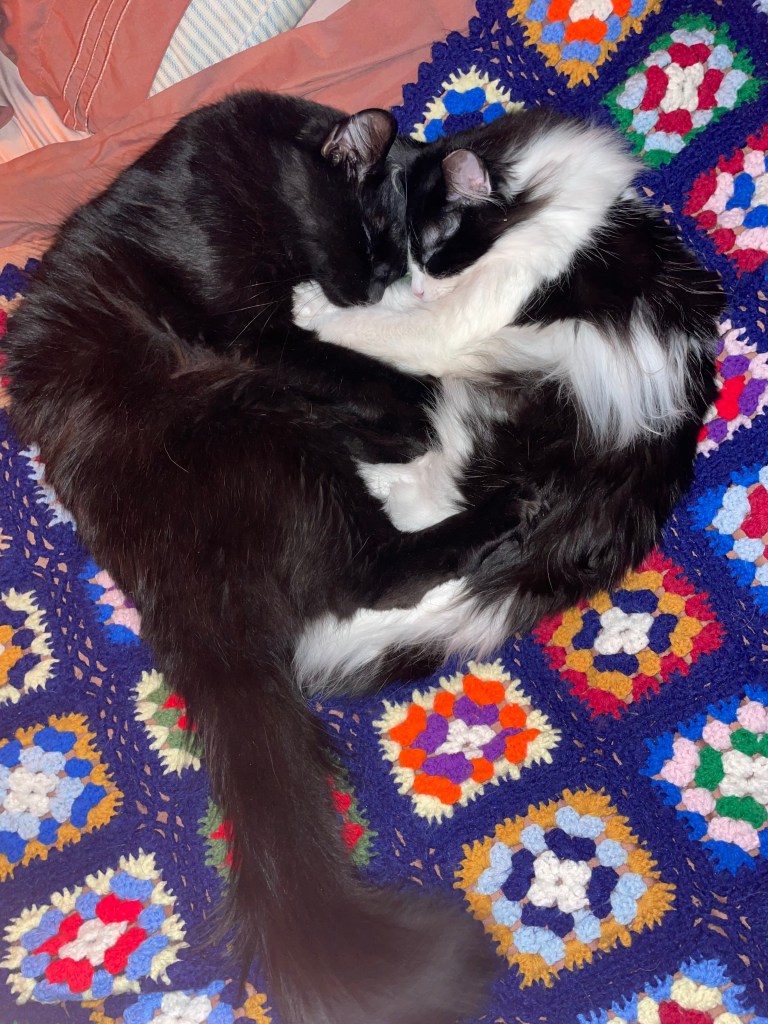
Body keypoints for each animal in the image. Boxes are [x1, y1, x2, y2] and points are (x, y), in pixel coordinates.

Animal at [5, 91, 509, 1024]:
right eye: (370, 243)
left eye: (403, 259)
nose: (375, 291)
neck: (253, 176)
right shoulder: (258, 330)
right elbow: (350, 360)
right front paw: (423, 387)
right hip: (257, 415)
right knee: (380, 571)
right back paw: (491, 496)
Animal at [292, 105, 725, 691]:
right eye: (406, 260)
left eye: (430, 252)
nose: (420, 286)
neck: (545, 202)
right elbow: (394, 311)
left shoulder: (462, 317)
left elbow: (380, 323)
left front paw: (314, 308)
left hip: (488, 425)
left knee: (423, 506)